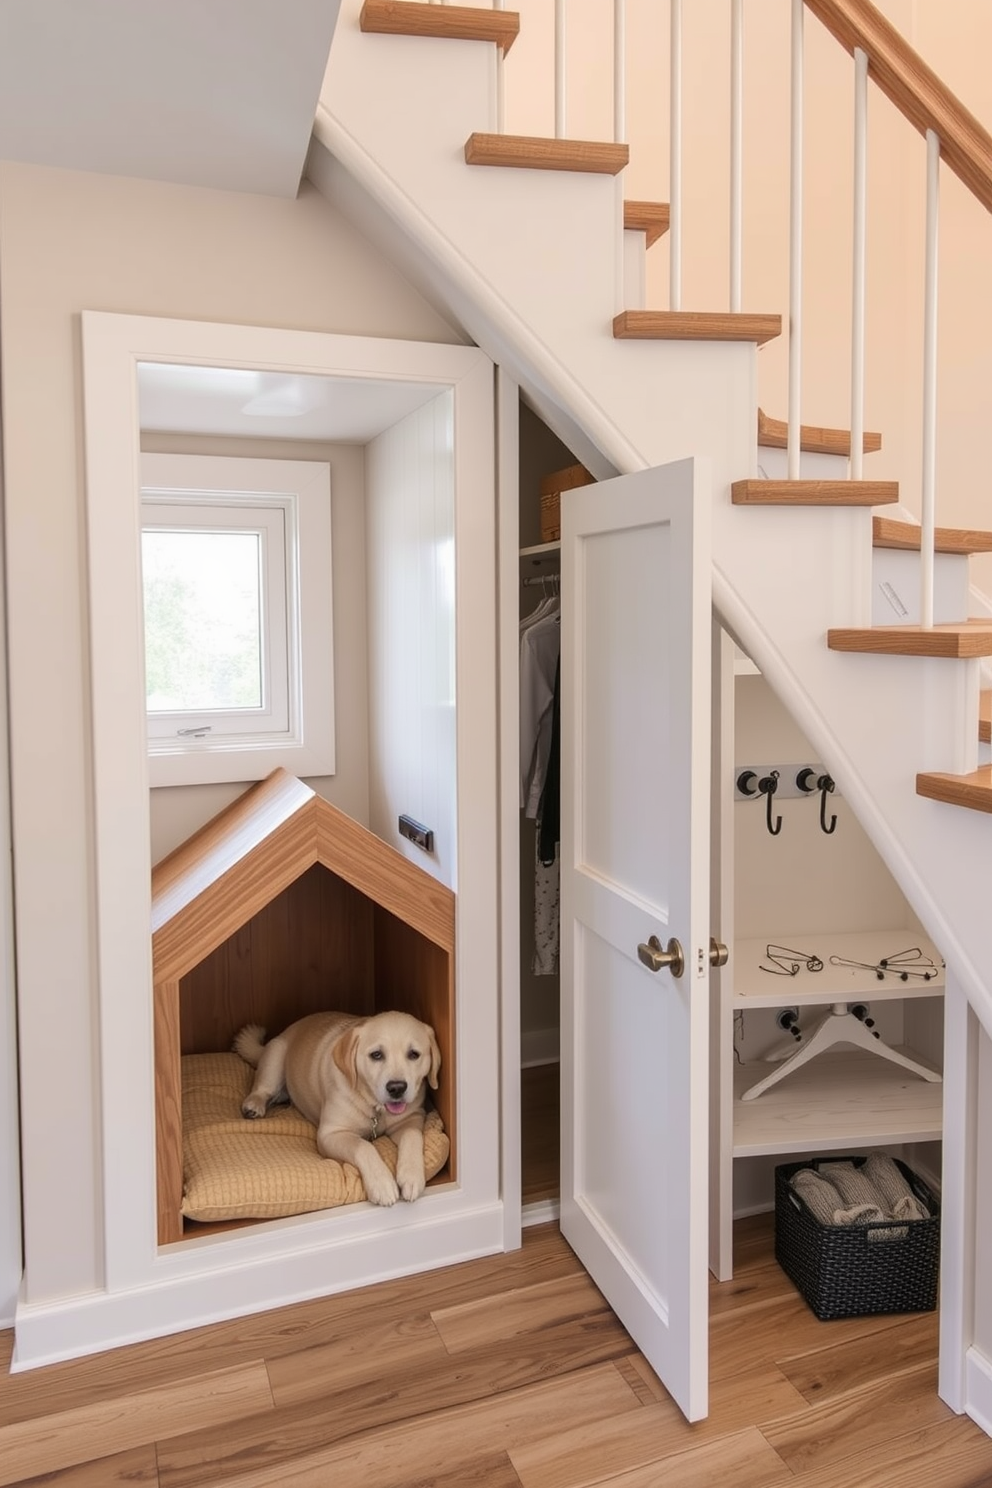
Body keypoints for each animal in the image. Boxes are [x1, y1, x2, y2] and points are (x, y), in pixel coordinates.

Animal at [234, 1011, 440, 1208]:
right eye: (376, 1055)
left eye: (414, 1054)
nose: (397, 1088)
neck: (375, 1107)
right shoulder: (330, 1134)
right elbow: (363, 1146)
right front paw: (382, 1184)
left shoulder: (412, 1118)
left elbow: (412, 1135)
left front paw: (411, 1176)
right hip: (275, 1058)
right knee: (263, 1089)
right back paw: (254, 1105)